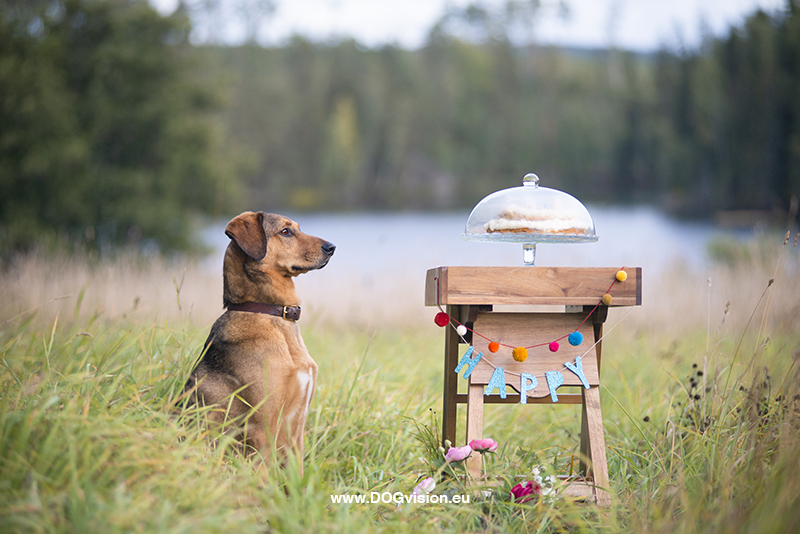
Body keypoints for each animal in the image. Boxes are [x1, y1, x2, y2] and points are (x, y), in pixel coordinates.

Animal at [184, 211, 334, 466]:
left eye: (298, 228)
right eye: (285, 231)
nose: (332, 247)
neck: (270, 312)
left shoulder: (296, 433)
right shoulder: (263, 429)